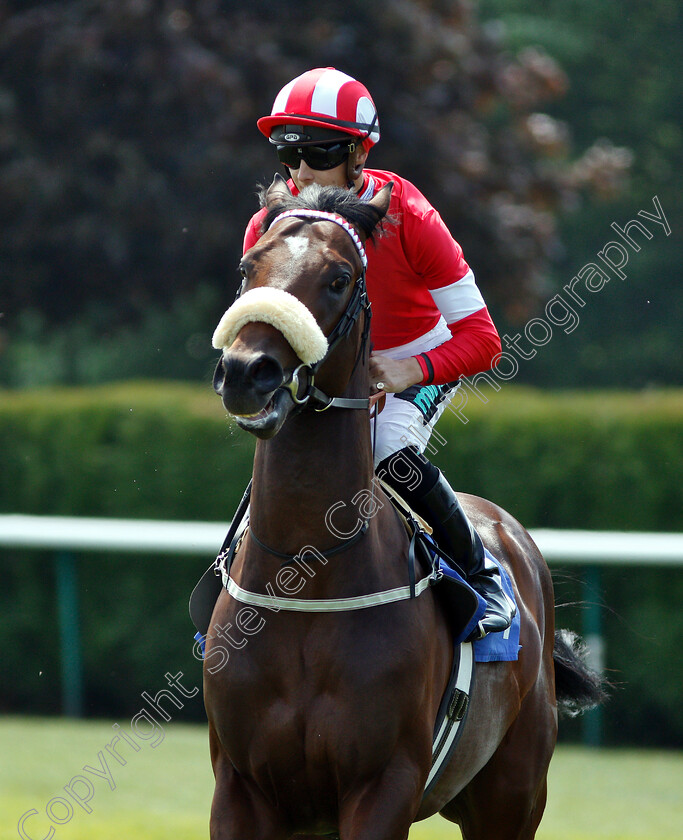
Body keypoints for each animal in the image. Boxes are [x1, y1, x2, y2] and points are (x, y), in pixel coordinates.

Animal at [206, 174, 608, 836]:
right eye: (247, 267)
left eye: (339, 277)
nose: (246, 372)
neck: (307, 578)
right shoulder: (241, 788)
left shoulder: (382, 784)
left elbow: (480, 332)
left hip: (512, 796)